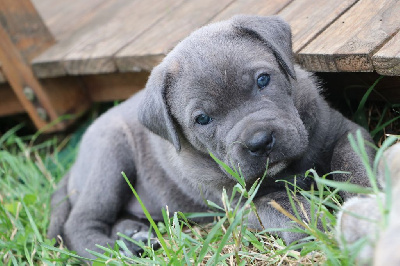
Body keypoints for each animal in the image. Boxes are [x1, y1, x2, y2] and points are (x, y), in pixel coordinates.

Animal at [47, 15, 376, 258]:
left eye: (263, 79)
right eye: (202, 119)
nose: (260, 142)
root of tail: (74, 166)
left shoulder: (345, 132)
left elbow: (354, 165)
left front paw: (370, 205)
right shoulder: (240, 205)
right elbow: (282, 205)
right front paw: (317, 226)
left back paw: (132, 236)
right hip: (110, 155)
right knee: (79, 221)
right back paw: (112, 252)